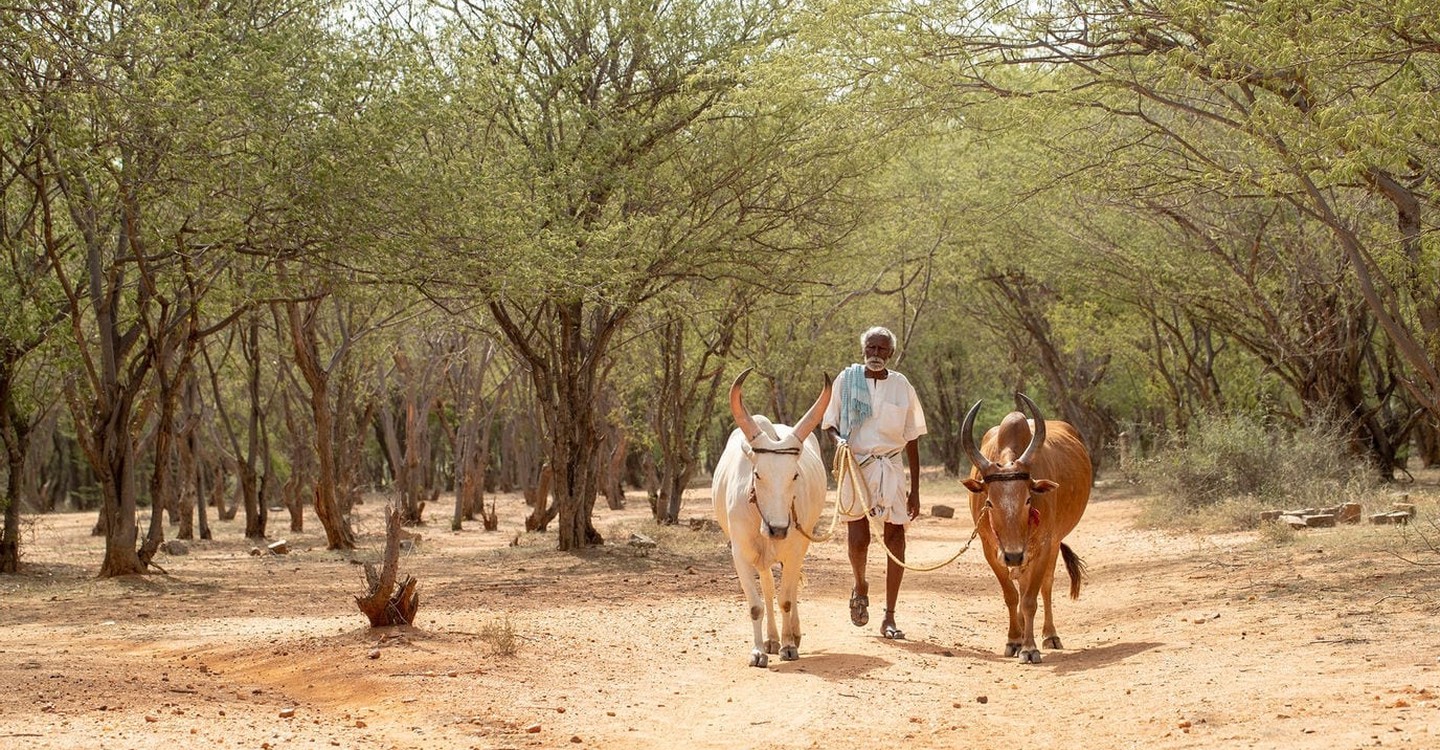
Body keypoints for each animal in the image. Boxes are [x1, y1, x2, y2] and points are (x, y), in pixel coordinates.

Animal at [711, 368, 835, 667]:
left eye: (795, 475)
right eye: (757, 474)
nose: (778, 529)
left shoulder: (795, 548)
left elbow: (786, 600)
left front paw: (789, 646)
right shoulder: (741, 554)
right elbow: (756, 605)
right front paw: (758, 651)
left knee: (789, 591)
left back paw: (792, 635)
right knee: (767, 589)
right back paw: (771, 639)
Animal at [967, 391, 1088, 662]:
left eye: (1028, 500)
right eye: (989, 502)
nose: (1013, 555)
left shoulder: (1042, 546)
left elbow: (1031, 599)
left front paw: (1030, 648)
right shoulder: (991, 550)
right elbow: (1012, 596)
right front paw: (1014, 640)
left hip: (1050, 546)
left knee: (1046, 586)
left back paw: (1049, 635)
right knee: (1021, 586)